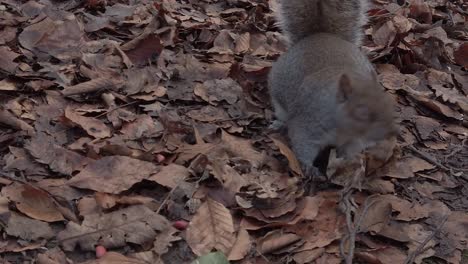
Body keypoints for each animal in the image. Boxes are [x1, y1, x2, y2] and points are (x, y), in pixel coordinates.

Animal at [268, 0, 396, 177]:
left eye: (388, 102)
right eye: (361, 111)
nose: (390, 133)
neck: (345, 130)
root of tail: (320, 36)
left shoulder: (353, 140)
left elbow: (347, 152)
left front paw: (348, 164)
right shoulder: (309, 123)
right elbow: (302, 143)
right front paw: (309, 167)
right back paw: (279, 124)